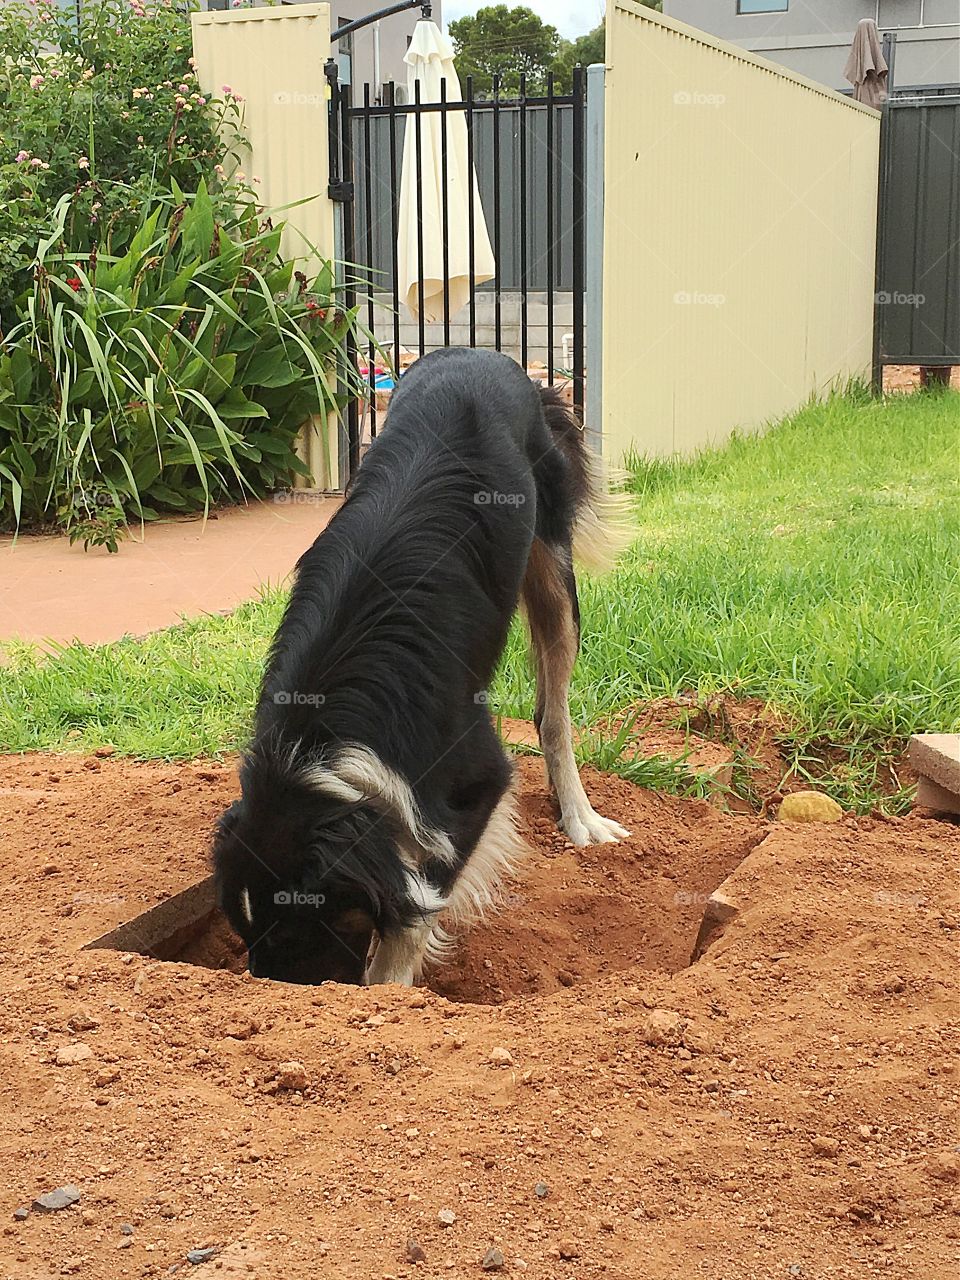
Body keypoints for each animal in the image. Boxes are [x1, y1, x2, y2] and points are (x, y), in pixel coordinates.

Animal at [213, 345, 632, 983]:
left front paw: (387, 989)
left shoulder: (479, 774)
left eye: (298, 934)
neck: (317, 743)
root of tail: (480, 352)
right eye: (243, 932)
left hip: (552, 564)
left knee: (553, 712)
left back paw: (581, 817)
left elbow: (413, 912)